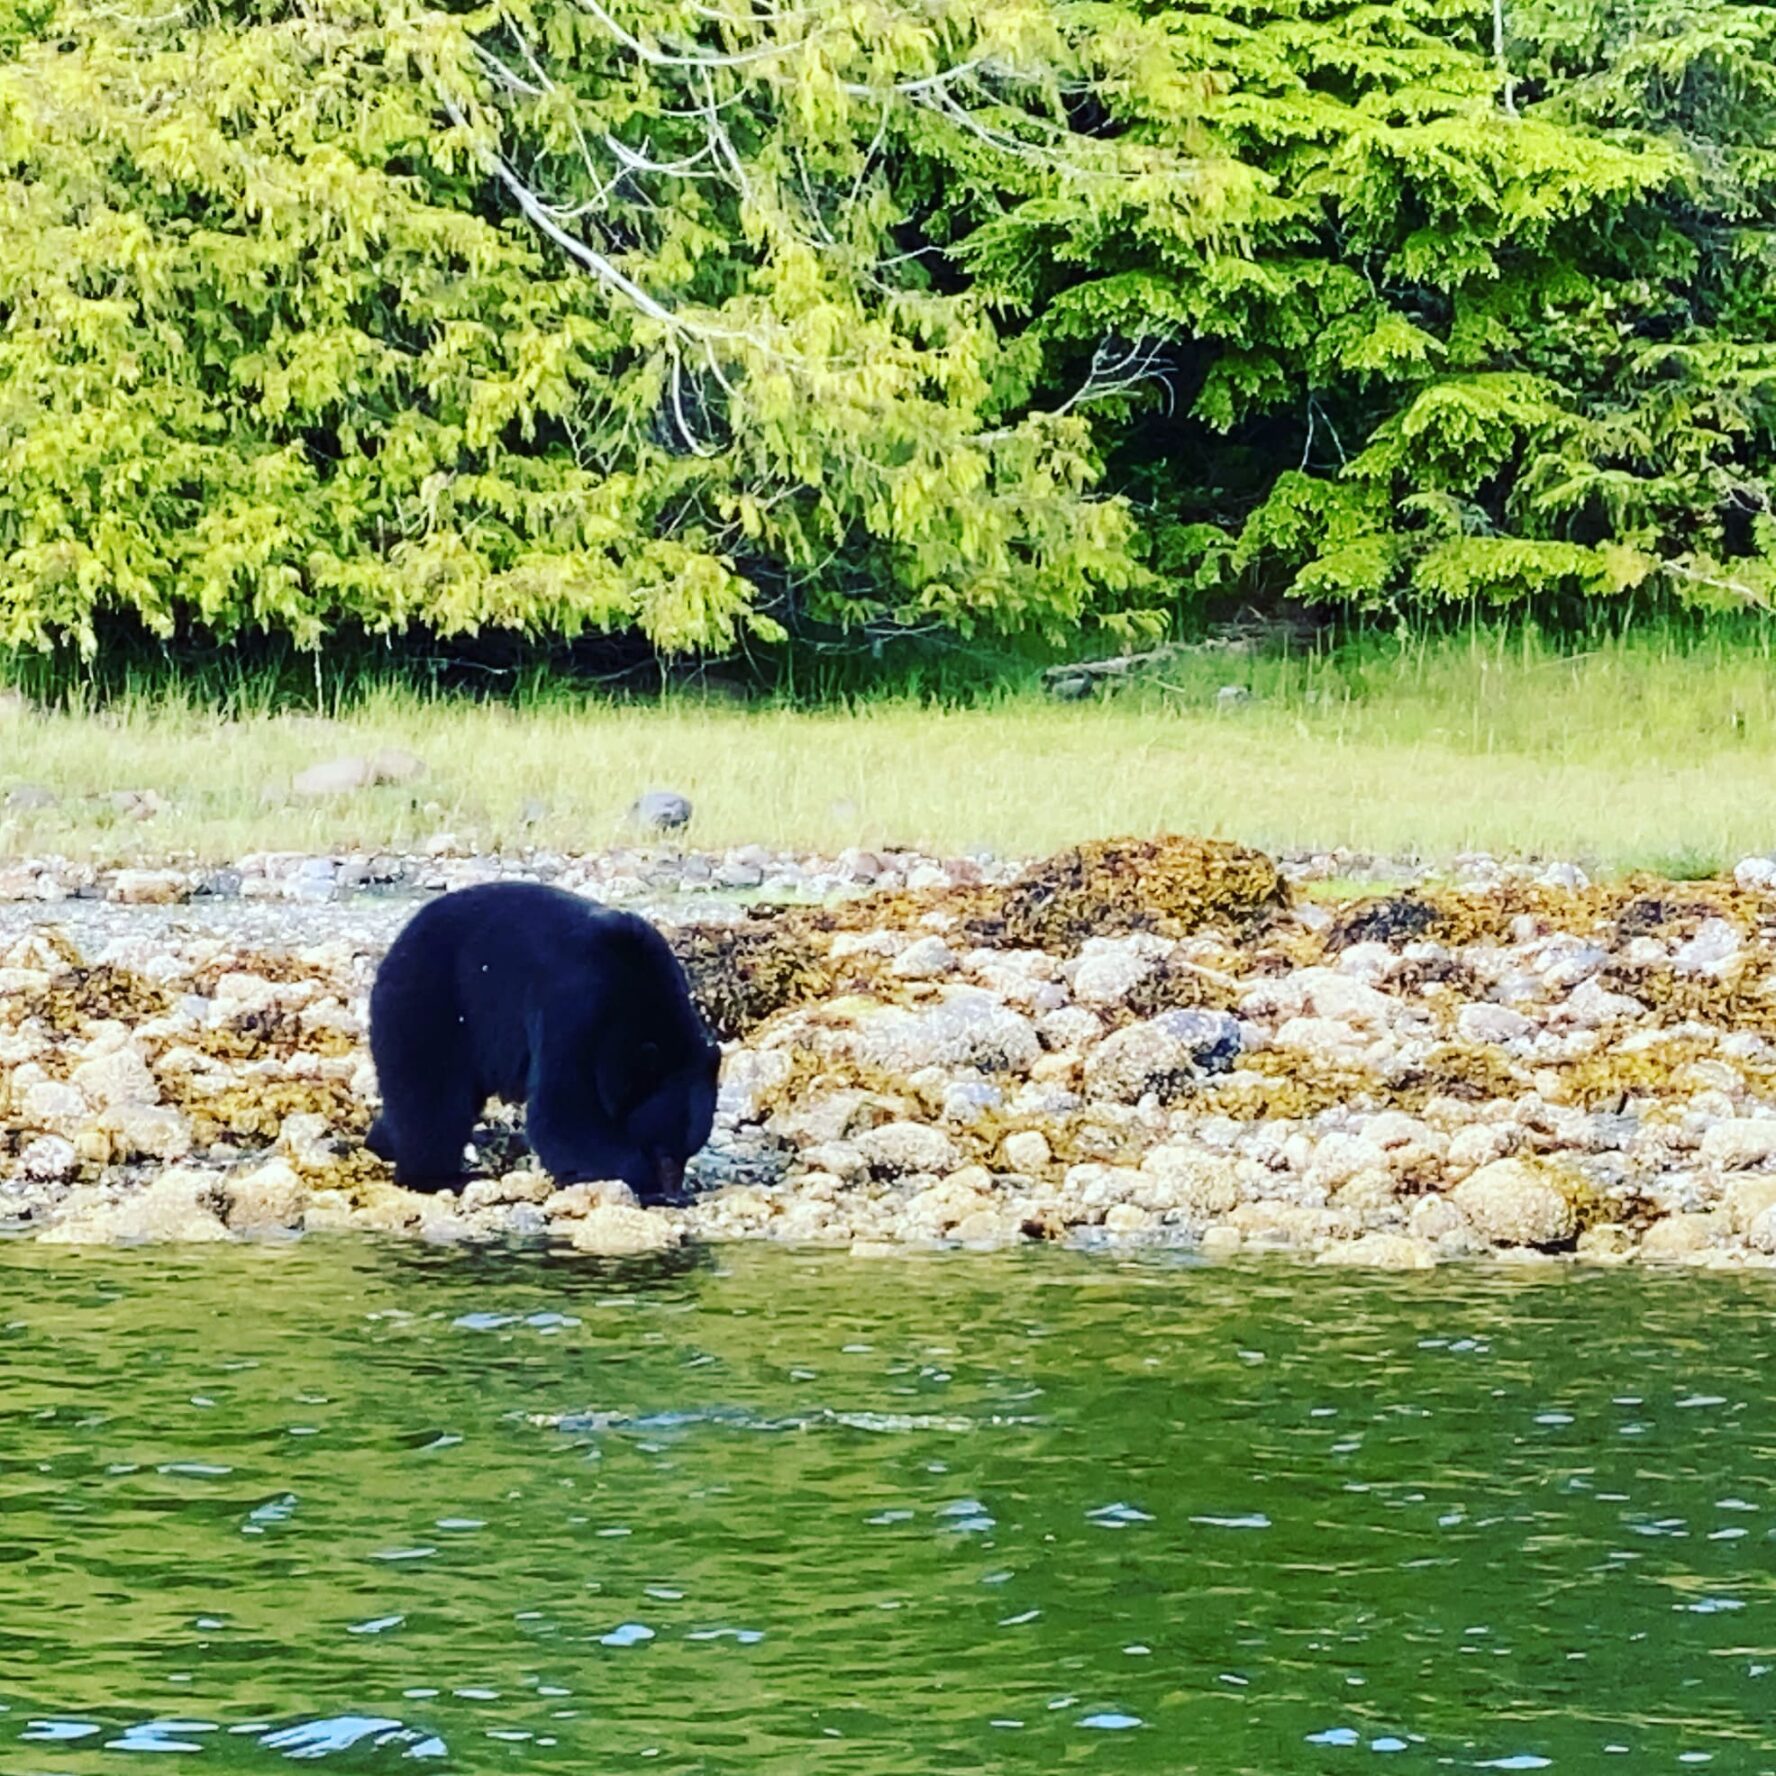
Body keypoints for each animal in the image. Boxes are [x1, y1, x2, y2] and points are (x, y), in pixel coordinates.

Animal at [365, 882, 720, 1199]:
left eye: (688, 1151)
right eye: (665, 1152)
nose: (674, 1190)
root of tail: (396, 946)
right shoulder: (575, 1004)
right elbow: (562, 1110)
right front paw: (643, 1182)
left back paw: (380, 1143)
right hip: (432, 1002)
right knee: (432, 1098)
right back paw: (441, 1177)